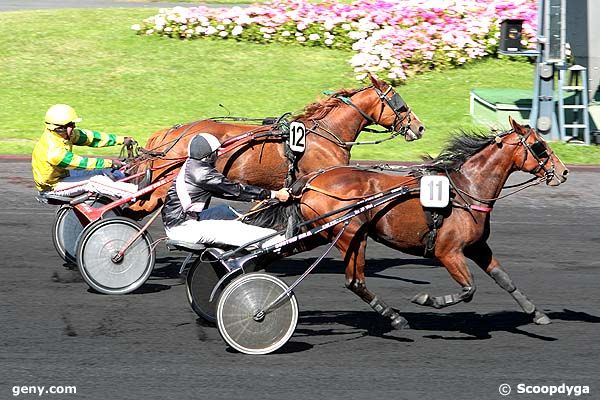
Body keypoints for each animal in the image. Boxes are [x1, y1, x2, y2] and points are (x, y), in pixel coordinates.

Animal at [282, 119, 568, 332]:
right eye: (539, 146)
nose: (563, 172)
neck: (466, 190)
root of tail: (310, 181)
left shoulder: (477, 247)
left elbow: (504, 279)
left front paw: (536, 313)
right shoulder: (448, 252)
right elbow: (469, 289)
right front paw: (427, 299)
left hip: (320, 233)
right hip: (351, 235)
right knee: (355, 282)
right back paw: (395, 317)